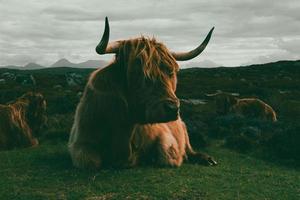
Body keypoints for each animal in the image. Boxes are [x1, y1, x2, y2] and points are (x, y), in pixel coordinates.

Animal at [69, 16, 217, 169]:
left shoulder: (165, 136)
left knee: (189, 149)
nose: (172, 108)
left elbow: (167, 156)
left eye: (171, 72)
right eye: (137, 72)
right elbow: (91, 162)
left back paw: (206, 159)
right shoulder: (80, 143)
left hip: (183, 127)